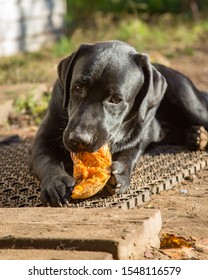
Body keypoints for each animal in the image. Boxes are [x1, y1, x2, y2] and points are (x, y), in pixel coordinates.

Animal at [30, 40, 208, 206]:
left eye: (116, 99)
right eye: (78, 88)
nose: (79, 139)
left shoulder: (138, 138)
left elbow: (129, 155)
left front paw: (121, 173)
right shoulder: (43, 138)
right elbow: (46, 160)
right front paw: (56, 183)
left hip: (188, 100)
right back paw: (194, 135)